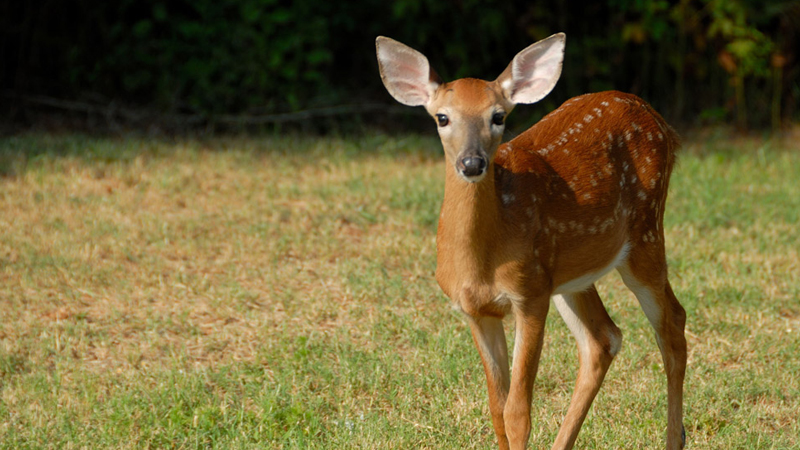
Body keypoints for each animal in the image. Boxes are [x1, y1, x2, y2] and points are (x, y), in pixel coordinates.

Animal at [376, 32, 688, 450]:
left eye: (498, 116)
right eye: (442, 117)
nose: (472, 163)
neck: (481, 260)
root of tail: (659, 120)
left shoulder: (529, 296)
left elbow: (518, 413)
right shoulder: (476, 310)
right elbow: (496, 408)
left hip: (645, 234)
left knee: (672, 324)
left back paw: (674, 437)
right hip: (570, 274)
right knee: (603, 339)